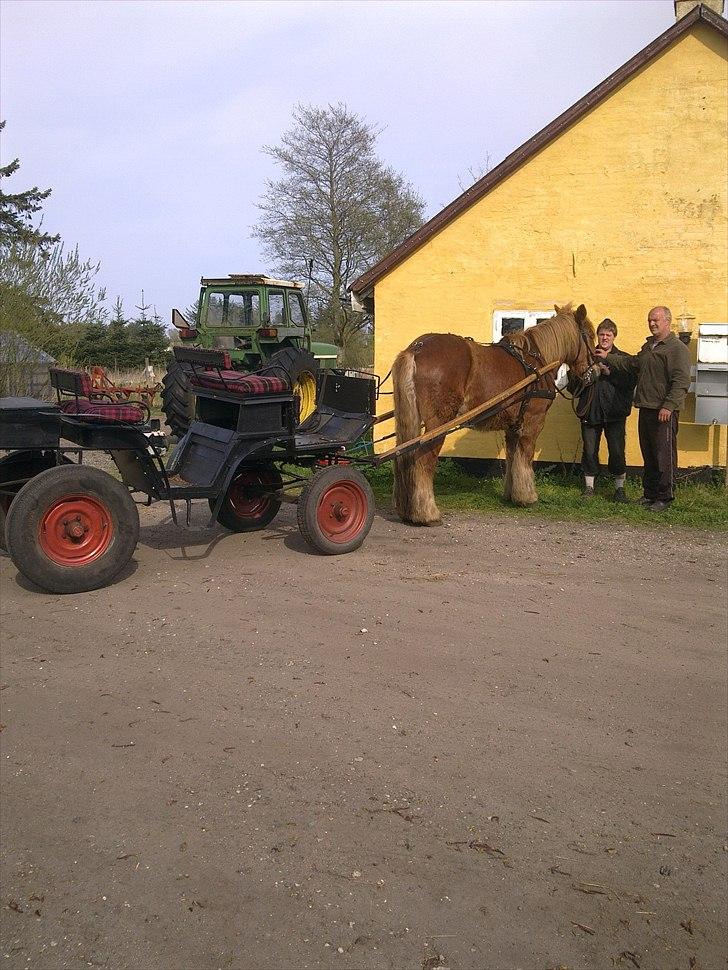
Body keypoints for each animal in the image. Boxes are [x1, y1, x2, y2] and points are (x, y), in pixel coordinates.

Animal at [392, 304, 596, 524]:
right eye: (591, 335)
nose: (596, 372)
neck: (537, 362)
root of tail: (417, 348)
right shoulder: (532, 421)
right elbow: (525, 457)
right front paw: (528, 497)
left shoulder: (513, 425)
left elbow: (512, 458)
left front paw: (512, 494)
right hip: (438, 423)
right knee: (423, 462)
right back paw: (426, 513)